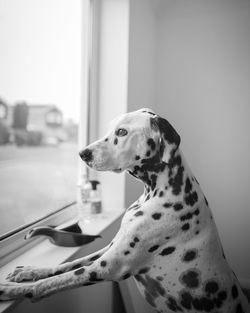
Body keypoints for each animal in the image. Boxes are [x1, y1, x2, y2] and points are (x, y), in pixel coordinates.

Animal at [0, 108, 250, 312]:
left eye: (121, 132)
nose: (83, 153)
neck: (163, 191)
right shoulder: (107, 251)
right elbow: (63, 266)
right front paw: (28, 271)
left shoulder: (106, 267)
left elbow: (49, 284)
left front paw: (10, 289)